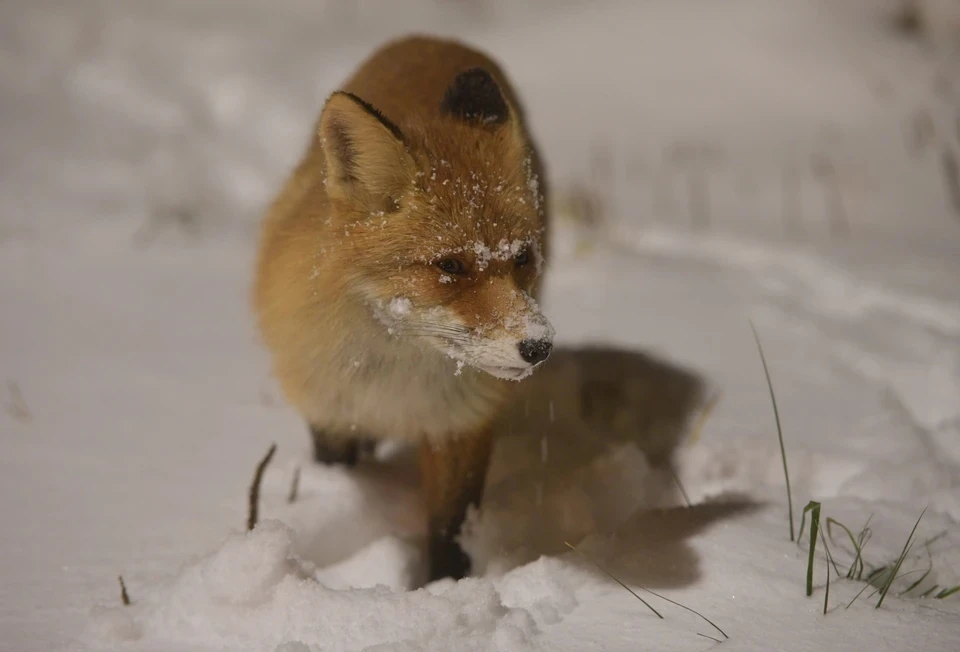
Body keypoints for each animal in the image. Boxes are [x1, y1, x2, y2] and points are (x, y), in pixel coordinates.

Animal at [253, 34, 556, 580]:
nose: (539, 347)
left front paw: (445, 587)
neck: (396, 380)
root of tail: (436, 39)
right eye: (451, 265)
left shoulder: (462, 424)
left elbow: (449, 531)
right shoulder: (329, 412)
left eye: (522, 257)